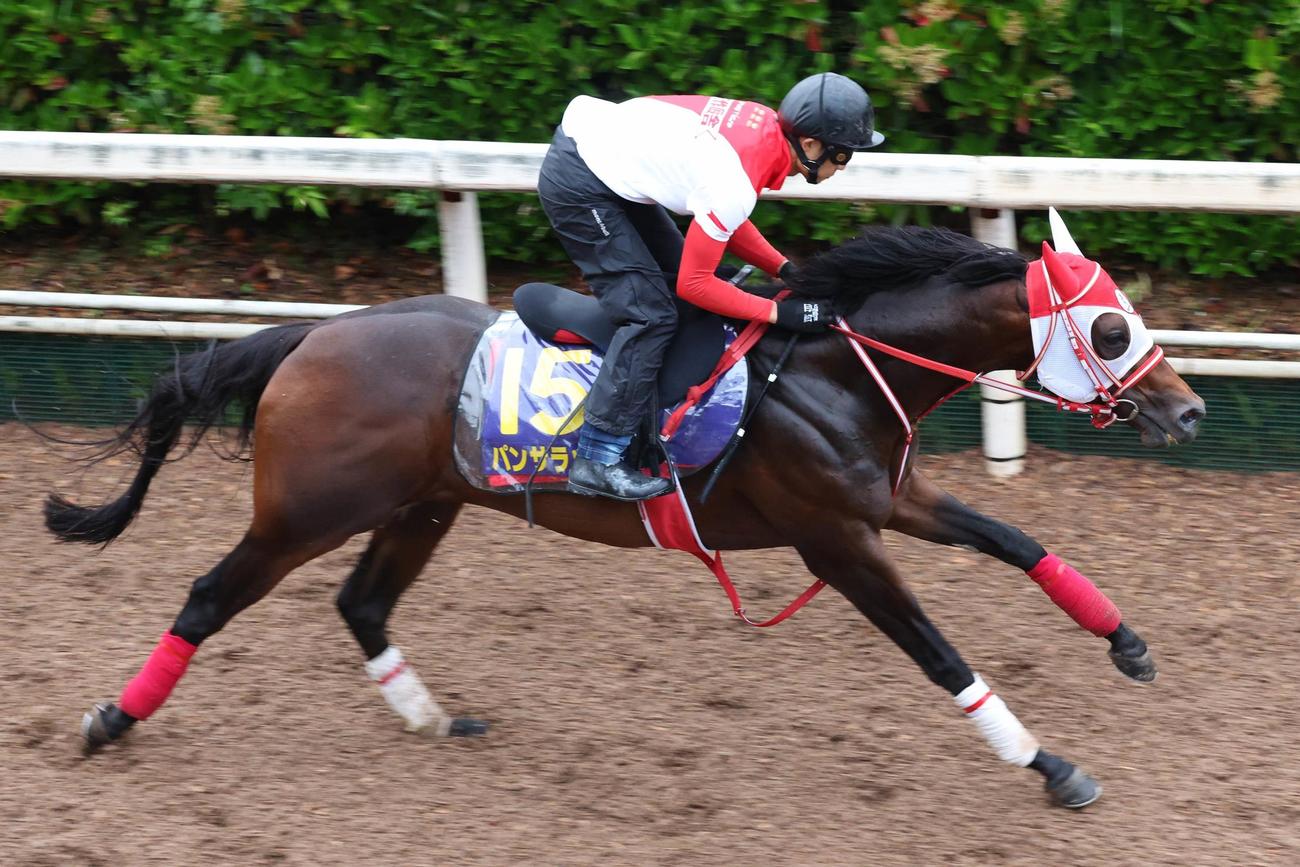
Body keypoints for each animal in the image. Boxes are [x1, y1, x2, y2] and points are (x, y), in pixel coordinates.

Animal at [47, 215, 1204, 809]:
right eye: (1109, 329)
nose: (1187, 410)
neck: (827, 366)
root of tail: (311, 335)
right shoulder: (835, 537)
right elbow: (939, 653)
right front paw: (1049, 764)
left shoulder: (894, 499)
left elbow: (1018, 540)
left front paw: (1129, 644)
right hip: (305, 512)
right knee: (209, 597)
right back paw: (110, 721)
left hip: (423, 504)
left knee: (362, 605)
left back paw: (432, 717)